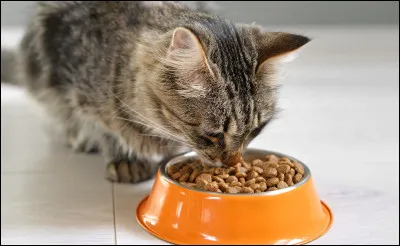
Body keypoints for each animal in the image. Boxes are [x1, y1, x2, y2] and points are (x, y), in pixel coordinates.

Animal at [0, 1, 310, 183]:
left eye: (255, 131)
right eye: (213, 135)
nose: (233, 163)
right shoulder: (74, 83)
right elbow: (105, 128)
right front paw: (124, 157)